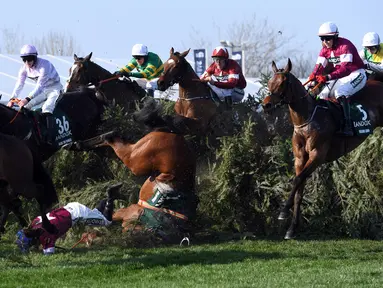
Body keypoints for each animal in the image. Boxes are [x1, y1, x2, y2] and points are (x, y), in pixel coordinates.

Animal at [264, 58, 383, 238]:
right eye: (270, 82)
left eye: (283, 82)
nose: (266, 105)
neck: (307, 119)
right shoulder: (300, 159)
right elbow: (299, 190)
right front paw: (291, 229)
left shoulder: (317, 155)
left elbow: (297, 180)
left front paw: (283, 210)